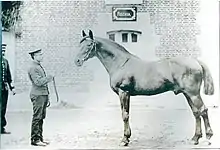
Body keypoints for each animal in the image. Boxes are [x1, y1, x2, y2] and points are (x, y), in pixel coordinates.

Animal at [74, 29, 213, 146]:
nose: (77, 61)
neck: (120, 63)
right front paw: (128, 137)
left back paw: (208, 137)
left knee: (203, 110)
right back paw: (195, 138)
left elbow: (125, 115)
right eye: (79, 44)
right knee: (196, 112)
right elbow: (126, 113)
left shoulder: (123, 92)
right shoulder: (127, 94)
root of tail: (195, 61)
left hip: (193, 94)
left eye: (89, 45)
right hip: (187, 94)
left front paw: (124, 140)